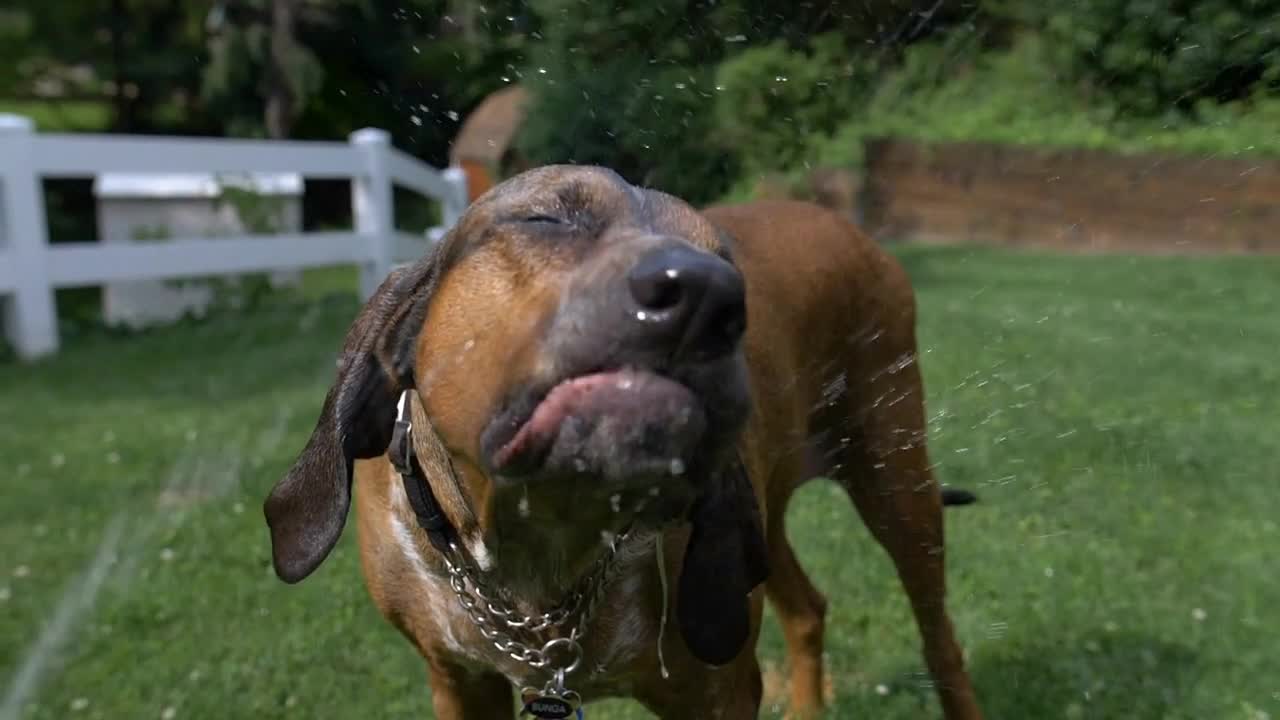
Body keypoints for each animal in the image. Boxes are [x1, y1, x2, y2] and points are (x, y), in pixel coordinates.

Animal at [259, 165, 977, 712]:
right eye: (547, 220)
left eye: (728, 265)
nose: (708, 296)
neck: (539, 566)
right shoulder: (458, 680)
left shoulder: (715, 689)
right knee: (807, 610)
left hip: (894, 476)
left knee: (940, 640)